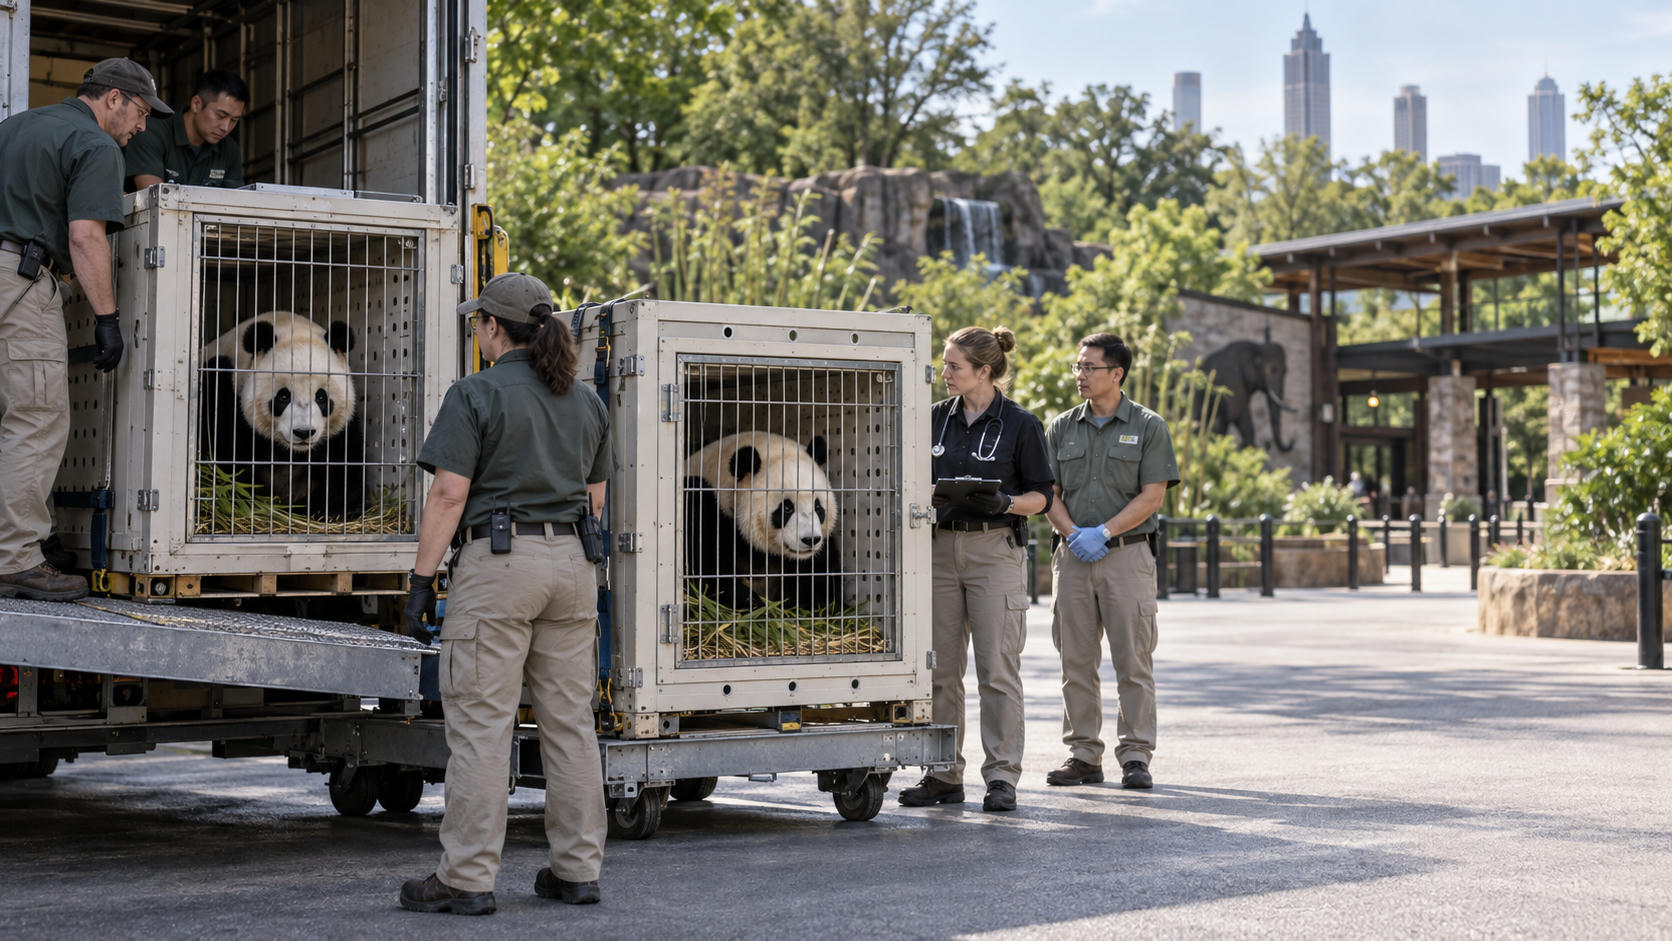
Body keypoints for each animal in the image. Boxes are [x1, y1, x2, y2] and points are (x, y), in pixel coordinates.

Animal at [198, 312, 366, 521]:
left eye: (321, 397)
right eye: (283, 396)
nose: (303, 432)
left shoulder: (342, 430)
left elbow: (346, 462)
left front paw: (336, 510)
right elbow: (227, 460)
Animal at [683, 431, 843, 612]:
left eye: (817, 506)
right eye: (787, 508)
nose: (810, 539)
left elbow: (822, 573)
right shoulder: (701, 509)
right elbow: (706, 571)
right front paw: (752, 604)